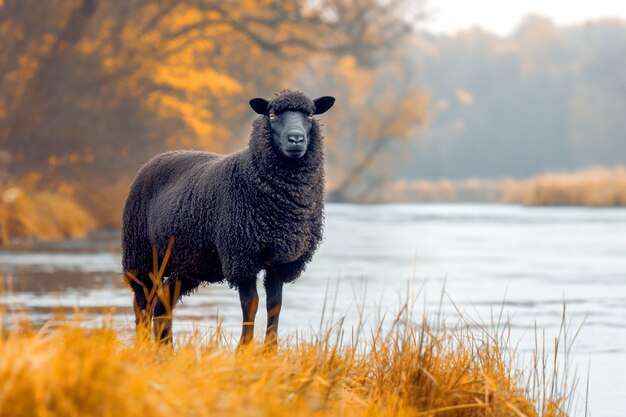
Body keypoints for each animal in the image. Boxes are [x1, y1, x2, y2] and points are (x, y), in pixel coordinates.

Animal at [123, 89, 336, 346]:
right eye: (272, 115)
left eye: (310, 115)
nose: (296, 139)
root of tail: (155, 159)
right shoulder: (241, 255)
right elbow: (251, 303)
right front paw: (244, 348)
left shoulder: (280, 260)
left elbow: (275, 305)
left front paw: (270, 349)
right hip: (142, 256)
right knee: (142, 303)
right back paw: (143, 346)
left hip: (190, 262)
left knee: (163, 301)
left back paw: (165, 348)